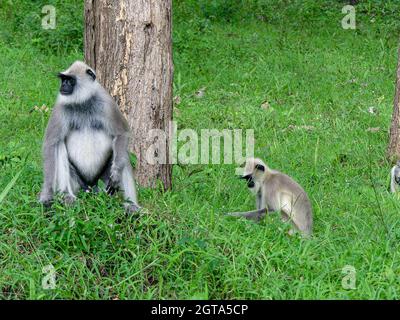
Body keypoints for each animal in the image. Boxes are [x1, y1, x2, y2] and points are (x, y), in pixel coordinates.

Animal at [39, 60, 139, 212]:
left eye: (70, 80)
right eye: (63, 79)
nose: (63, 86)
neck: (82, 102)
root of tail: (91, 187)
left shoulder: (106, 102)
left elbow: (122, 133)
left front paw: (116, 173)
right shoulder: (60, 106)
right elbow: (50, 143)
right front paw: (46, 194)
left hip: (103, 181)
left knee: (123, 157)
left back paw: (132, 205)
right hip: (78, 184)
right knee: (59, 144)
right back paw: (67, 196)